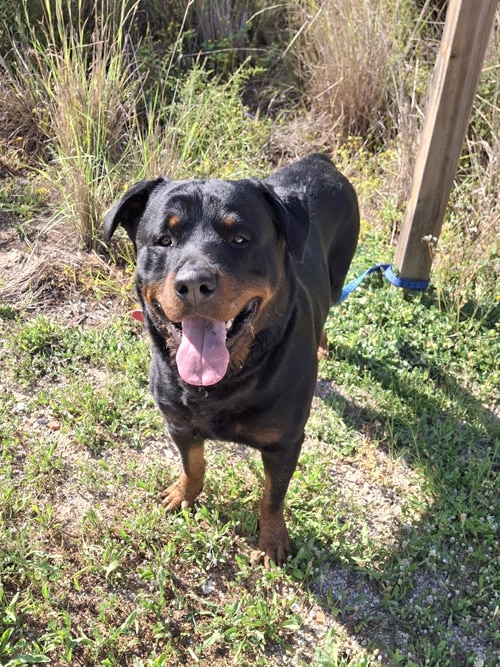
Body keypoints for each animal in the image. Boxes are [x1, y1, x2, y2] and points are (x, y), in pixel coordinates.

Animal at [104, 153, 359, 568]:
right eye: (164, 240)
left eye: (239, 239)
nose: (194, 283)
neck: (224, 381)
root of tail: (320, 160)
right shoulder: (178, 423)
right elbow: (193, 465)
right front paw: (184, 494)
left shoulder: (285, 442)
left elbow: (273, 496)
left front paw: (272, 540)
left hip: (339, 273)